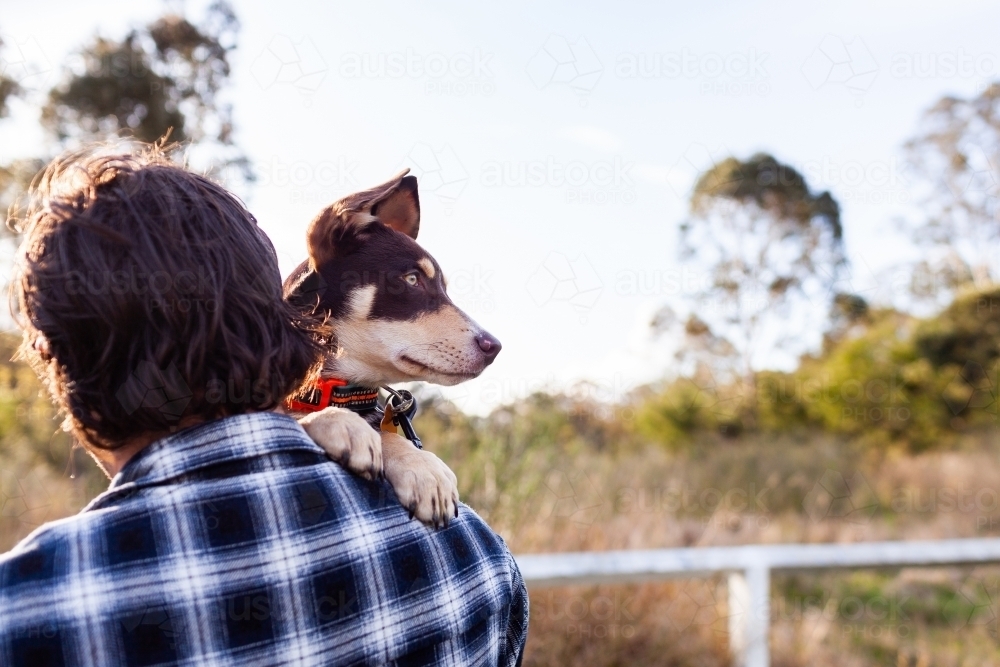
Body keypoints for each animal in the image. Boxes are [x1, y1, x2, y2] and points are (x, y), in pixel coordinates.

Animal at [282, 170, 500, 528]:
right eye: (412, 279)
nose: (494, 347)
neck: (338, 392)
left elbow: (387, 432)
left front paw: (422, 466)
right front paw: (338, 421)